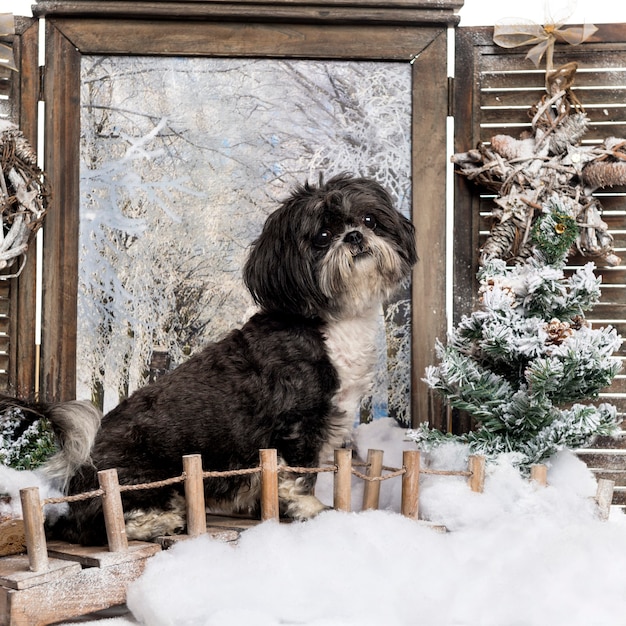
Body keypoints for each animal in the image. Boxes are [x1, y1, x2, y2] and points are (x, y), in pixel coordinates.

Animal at [4, 171, 416, 540]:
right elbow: (300, 476)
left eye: (369, 219)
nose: (355, 236)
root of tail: (73, 487)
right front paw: (311, 510)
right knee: (103, 521)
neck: (330, 321)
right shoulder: (298, 424)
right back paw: (157, 523)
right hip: (138, 477)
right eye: (322, 237)